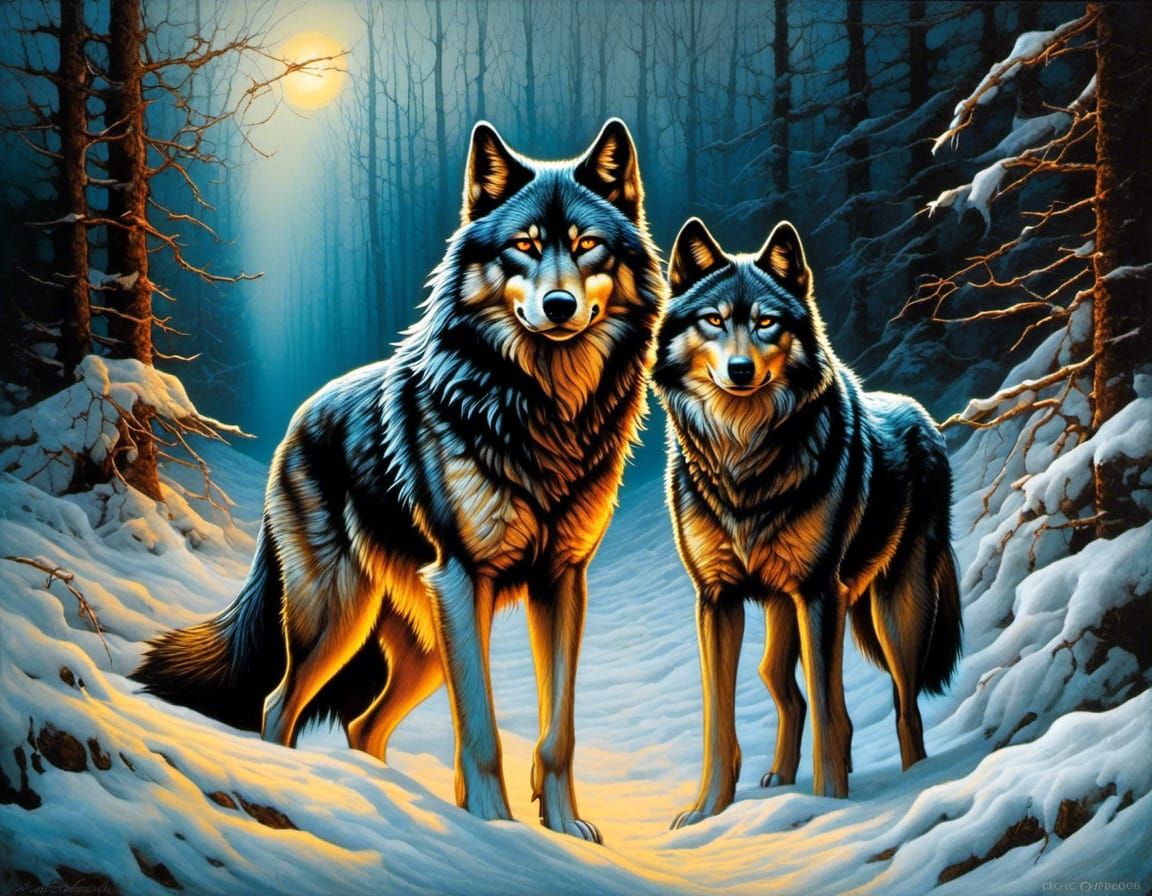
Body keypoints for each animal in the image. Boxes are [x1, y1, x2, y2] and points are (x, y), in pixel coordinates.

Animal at [133, 119, 664, 842]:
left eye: (587, 247)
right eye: (525, 247)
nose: (559, 305)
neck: (542, 411)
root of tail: (298, 421)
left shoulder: (564, 582)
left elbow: (558, 732)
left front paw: (564, 831)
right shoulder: (463, 578)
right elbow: (482, 732)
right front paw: (495, 830)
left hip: (422, 647)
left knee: (362, 727)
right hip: (341, 617)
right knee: (277, 703)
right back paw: (295, 787)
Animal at [653, 217, 961, 826]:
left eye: (766, 322)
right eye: (714, 321)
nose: (740, 370)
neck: (743, 458)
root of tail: (927, 418)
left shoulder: (821, 592)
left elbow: (830, 712)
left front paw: (827, 804)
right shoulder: (716, 599)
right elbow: (718, 723)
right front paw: (706, 813)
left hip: (895, 612)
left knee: (904, 705)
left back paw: (915, 779)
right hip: (783, 613)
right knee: (785, 688)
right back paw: (779, 779)